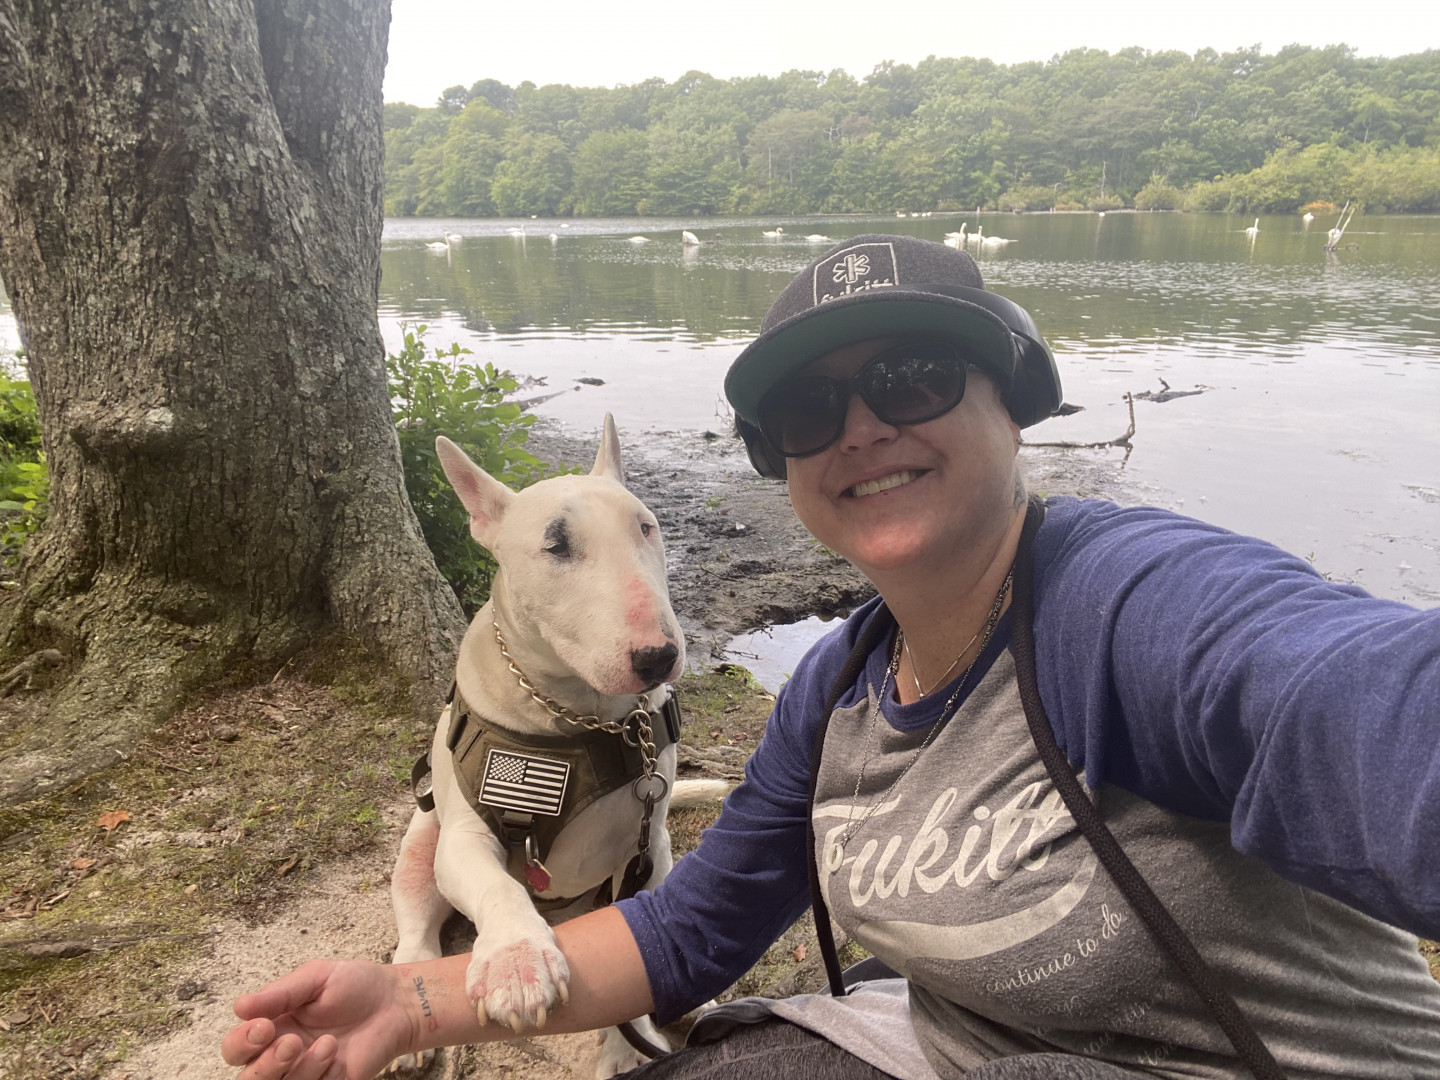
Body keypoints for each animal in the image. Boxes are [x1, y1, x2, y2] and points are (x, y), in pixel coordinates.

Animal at [389, 415, 725, 1077]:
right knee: (416, 924)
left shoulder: (649, 843)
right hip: (420, 844)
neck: (581, 720)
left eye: (646, 526)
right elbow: (497, 883)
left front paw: (624, 1046)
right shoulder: (465, 838)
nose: (659, 657)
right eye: (555, 545)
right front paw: (516, 962)